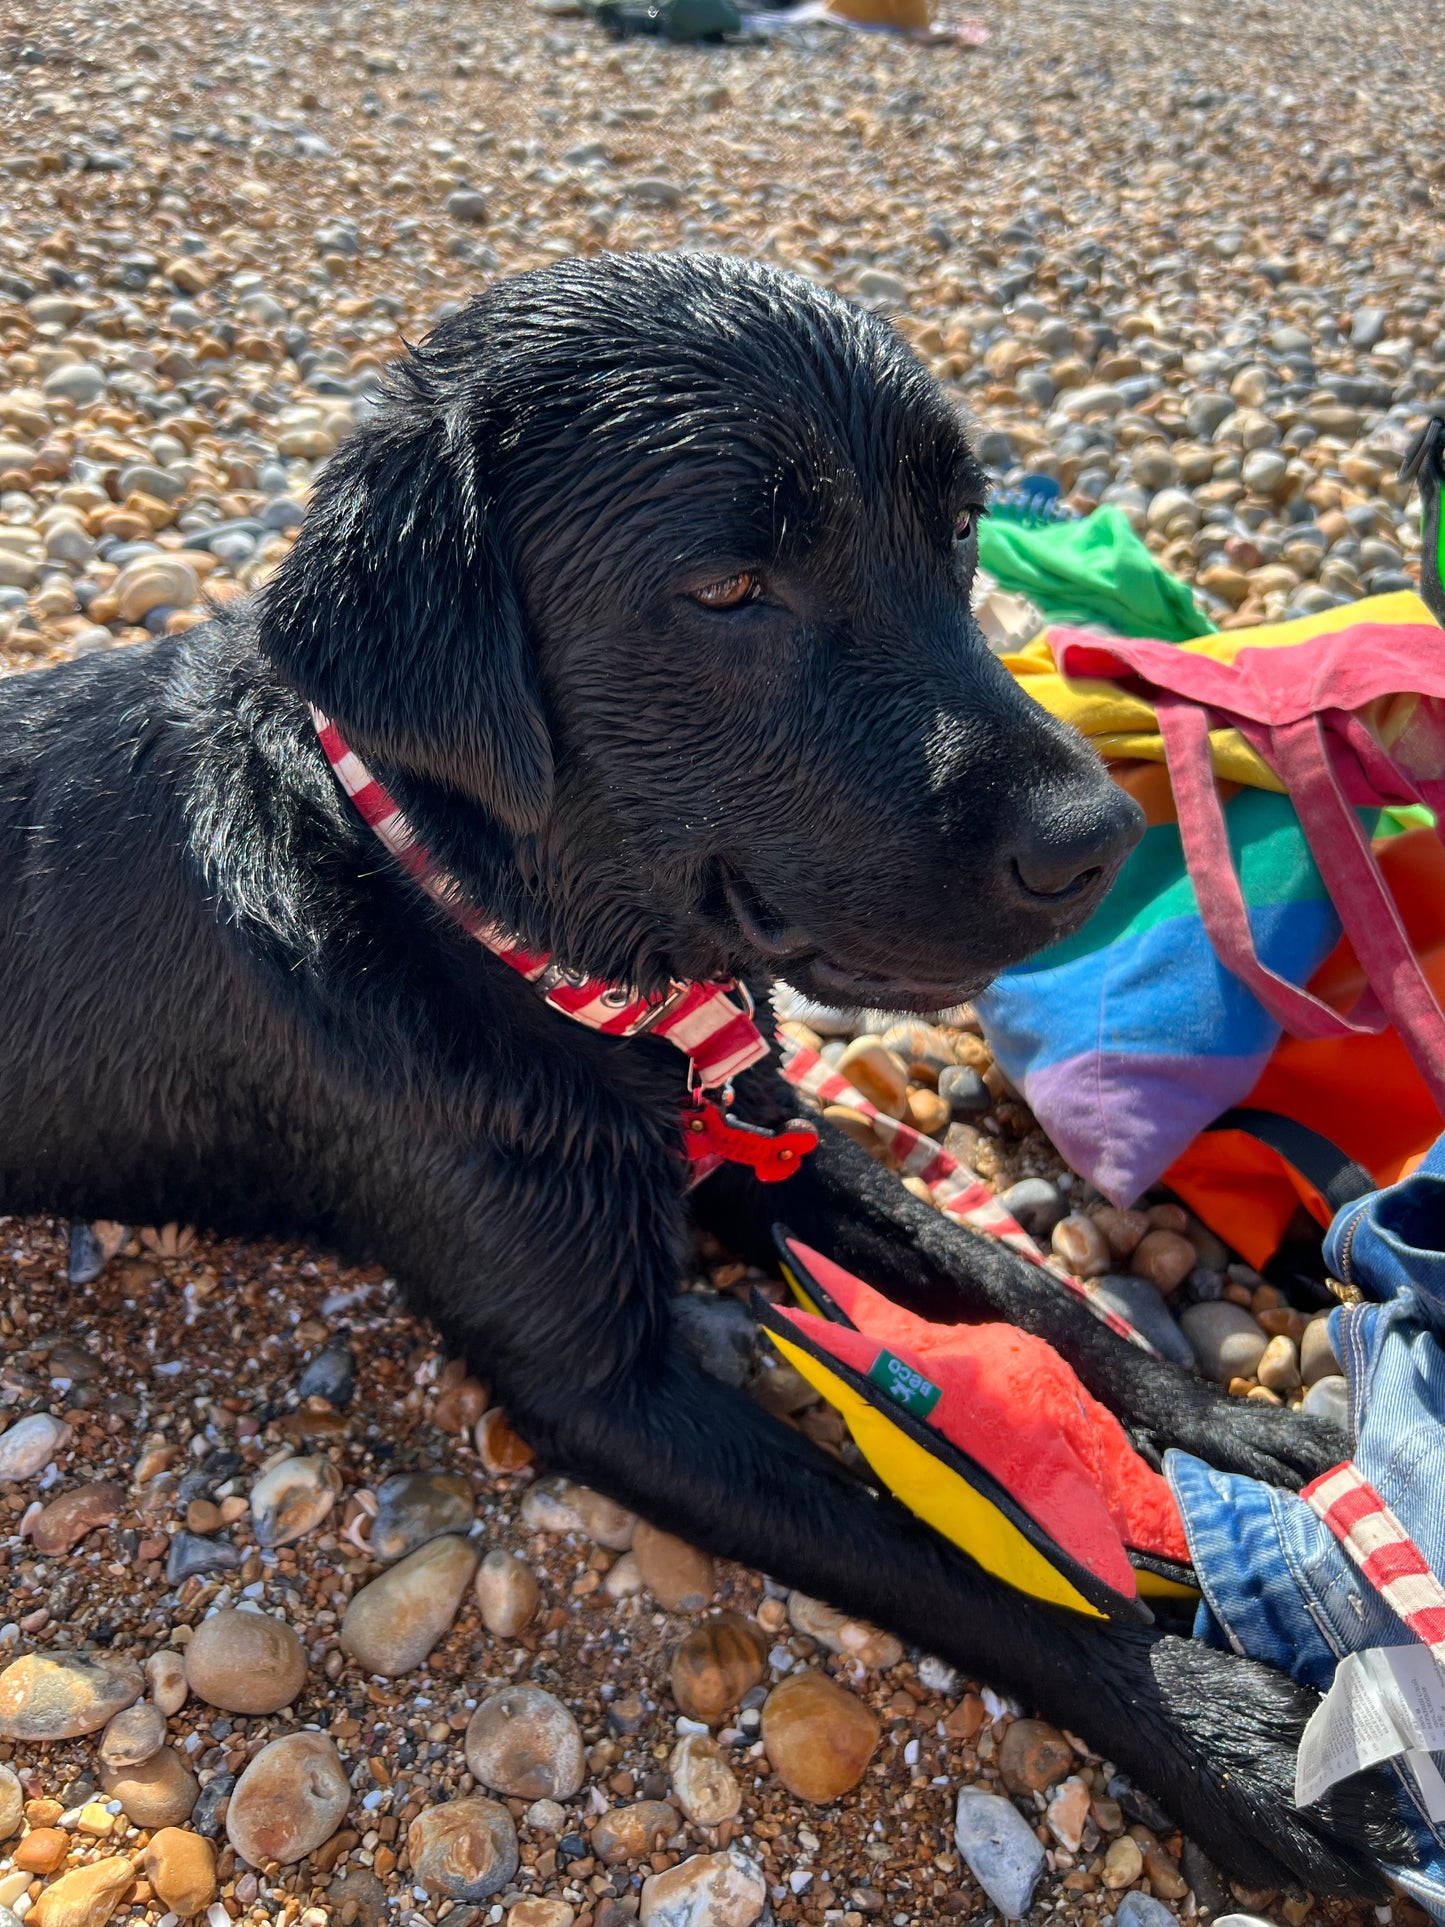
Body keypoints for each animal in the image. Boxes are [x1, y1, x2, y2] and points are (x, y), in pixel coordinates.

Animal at [0, 256, 1402, 1896]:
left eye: (962, 531)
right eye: (730, 591)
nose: (1099, 839)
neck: (480, 926)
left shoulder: (760, 1128)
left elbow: (1019, 1283)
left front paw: (1252, 1435)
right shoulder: (602, 1379)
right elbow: (943, 1548)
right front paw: (1229, 1734)